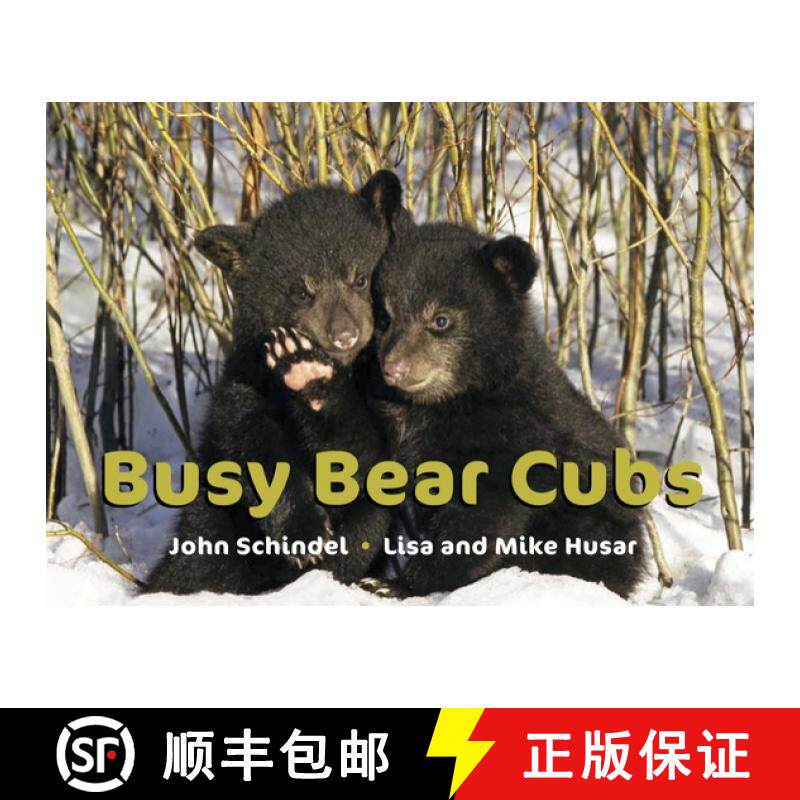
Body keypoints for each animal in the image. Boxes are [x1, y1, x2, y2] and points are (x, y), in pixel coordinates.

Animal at [144, 170, 405, 595]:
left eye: (360, 279)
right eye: (300, 291)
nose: (344, 334)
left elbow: (363, 453)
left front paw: (312, 378)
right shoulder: (248, 383)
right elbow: (252, 440)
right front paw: (305, 534)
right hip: (210, 521)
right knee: (197, 556)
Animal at [367, 222, 646, 599]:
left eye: (440, 319)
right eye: (385, 317)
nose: (394, 368)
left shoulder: (513, 439)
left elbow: (483, 517)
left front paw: (396, 584)